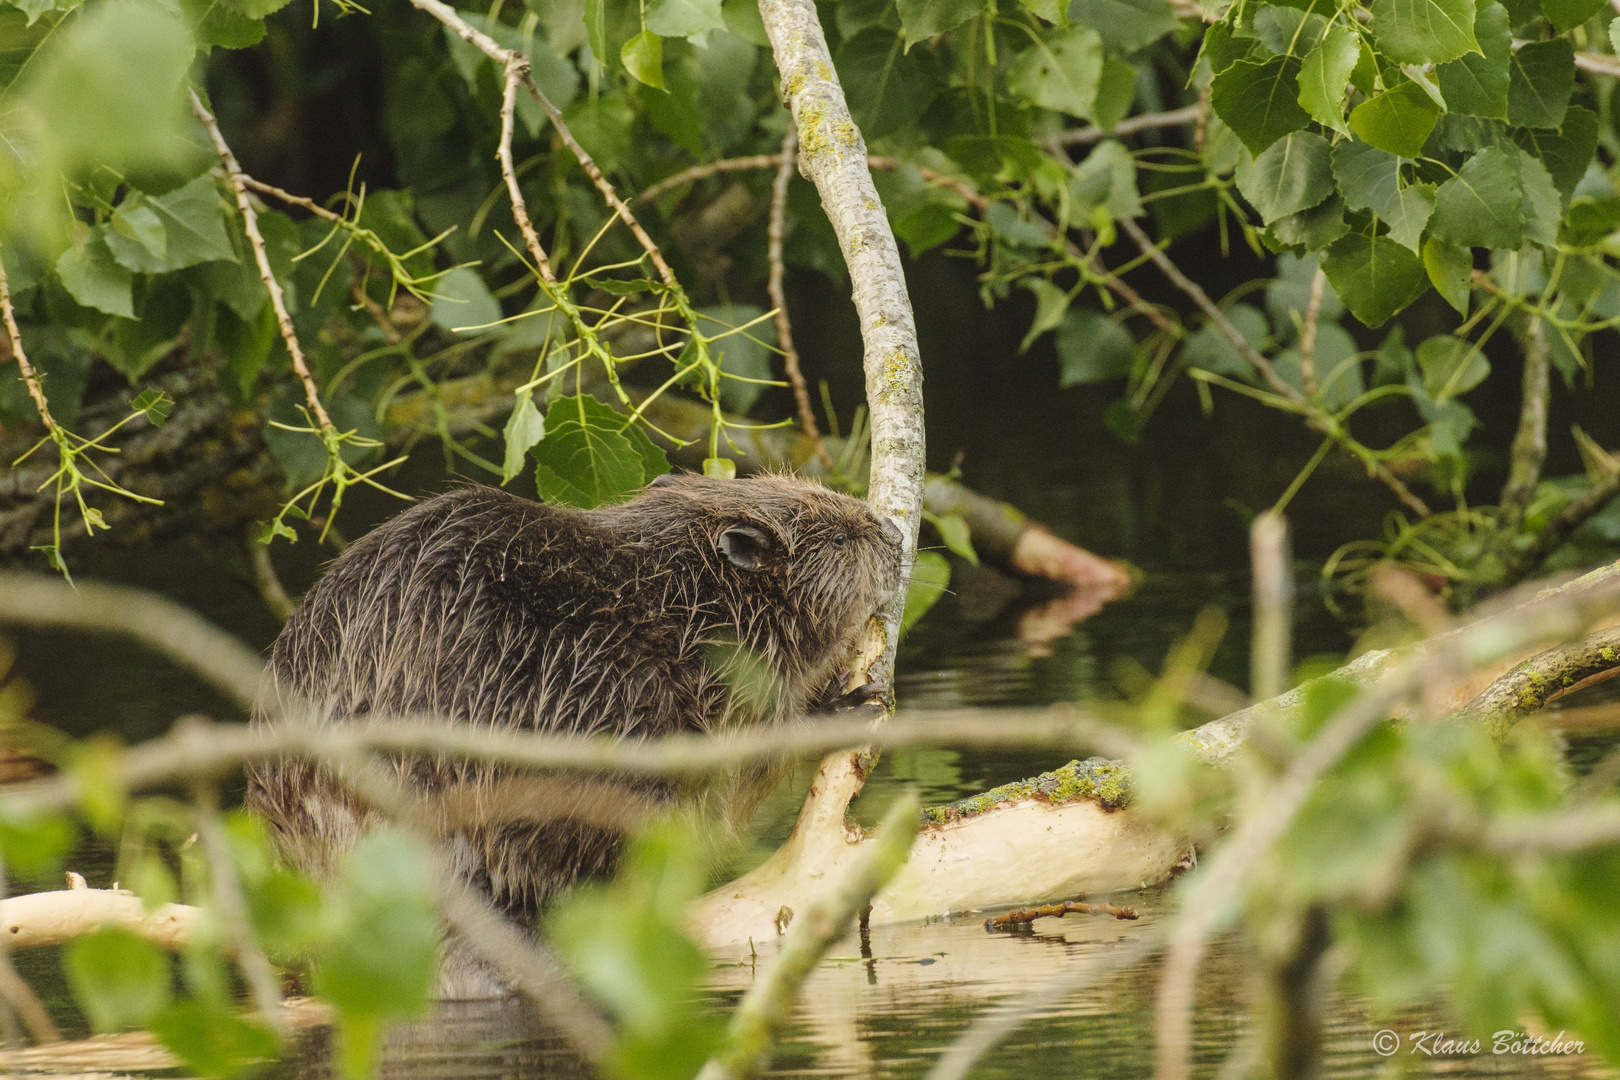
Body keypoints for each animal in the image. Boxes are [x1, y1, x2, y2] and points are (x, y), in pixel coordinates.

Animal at [243, 469, 900, 990]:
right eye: (839, 536)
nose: (893, 534)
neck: (683, 598)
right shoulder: (704, 682)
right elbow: (741, 755)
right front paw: (847, 699)